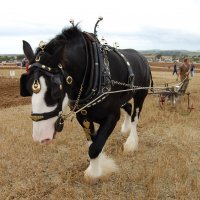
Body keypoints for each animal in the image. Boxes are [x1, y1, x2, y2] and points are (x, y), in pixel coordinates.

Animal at [20, 25, 152, 183]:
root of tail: (142, 57)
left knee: (135, 116)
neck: (94, 69)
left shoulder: (112, 116)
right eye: (27, 88)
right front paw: (98, 165)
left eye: (56, 90)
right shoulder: (83, 116)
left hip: (140, 94)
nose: (40, 137)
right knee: (128, 107)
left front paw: (94, 174)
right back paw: (125, 129)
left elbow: (94, 147)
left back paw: (131, 143)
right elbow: (93, 143)